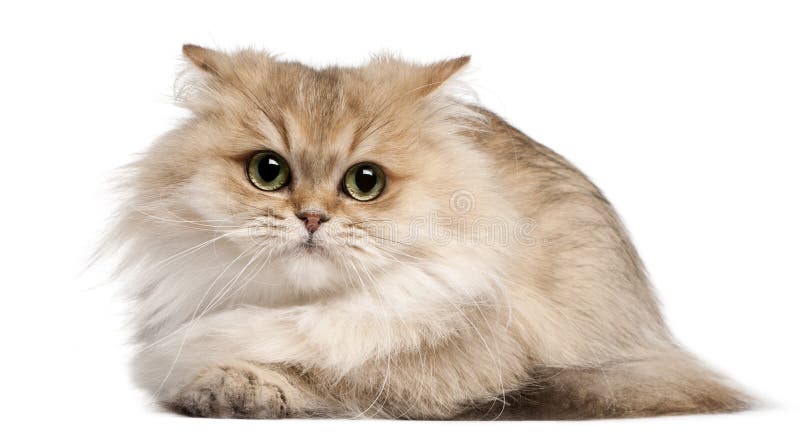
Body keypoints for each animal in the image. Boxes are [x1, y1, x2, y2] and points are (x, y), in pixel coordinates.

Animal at [104, 45, 752, 420]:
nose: (311, 218)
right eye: (269, 172)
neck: (304, 308)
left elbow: (330, 375)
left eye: (365, 182)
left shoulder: (463, 366)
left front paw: (241, 384)